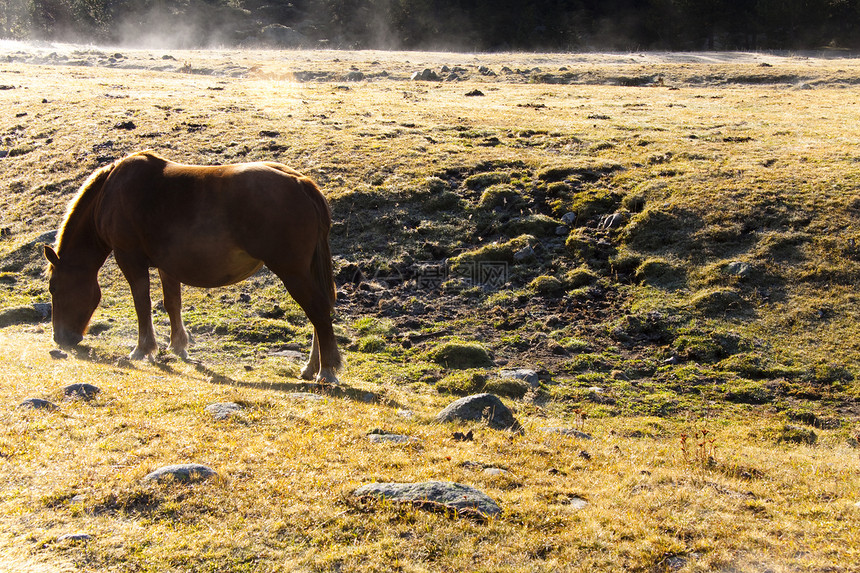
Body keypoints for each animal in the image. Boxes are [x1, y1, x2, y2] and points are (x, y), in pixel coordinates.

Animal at [45, 152, 342, 382]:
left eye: (54, 288)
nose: (60, 338)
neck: (111, 193)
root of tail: (302, 183)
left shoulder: (129, 259)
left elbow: (142, 303)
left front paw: (143, 349)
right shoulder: (166, 266)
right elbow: (171, 303)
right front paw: (178, 346)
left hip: (292, 271)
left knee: (317, 310)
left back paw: (326, 371)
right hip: (304, 271)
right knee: (319, 312)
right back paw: (311, 367)